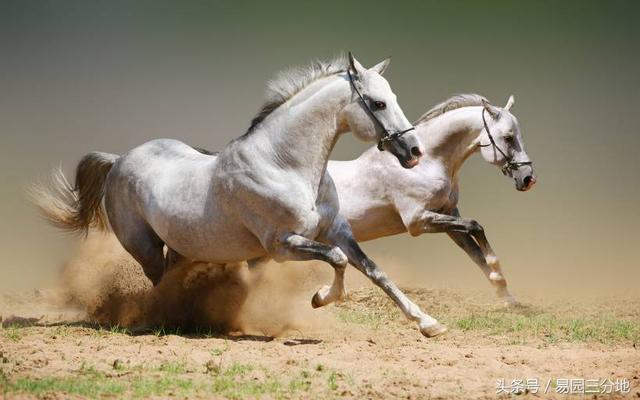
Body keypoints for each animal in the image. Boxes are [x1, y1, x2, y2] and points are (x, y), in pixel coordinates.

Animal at [36, 54, 450, 338]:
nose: (414, 151)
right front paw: (320, 298)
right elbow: (337, 260)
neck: (284, 165)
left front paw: (428, 323)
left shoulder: (337, 231)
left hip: (182, 248)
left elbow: (374, 271)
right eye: (378, 103)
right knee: (157, 285)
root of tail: (119, 159)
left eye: (392, 96)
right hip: (145, 248)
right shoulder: (281, 246)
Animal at [330, 94, 536, 306]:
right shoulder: (417, 221)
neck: (425, 164)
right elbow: (475, 226)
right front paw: (497, 272)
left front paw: (508, 298)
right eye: (508, 137)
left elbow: (476, 253)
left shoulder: (448, 215)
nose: (528, 178)